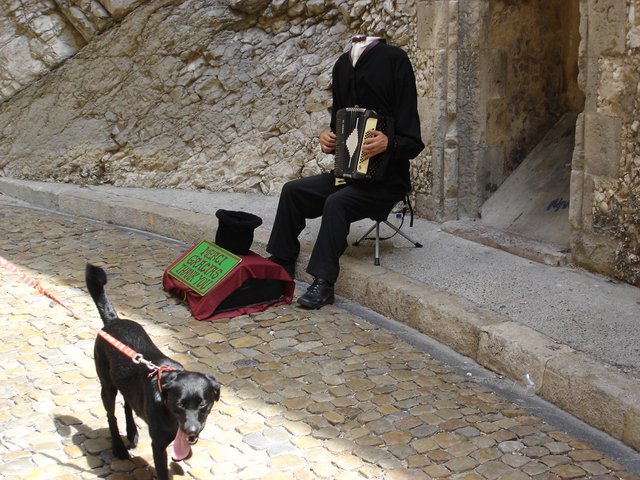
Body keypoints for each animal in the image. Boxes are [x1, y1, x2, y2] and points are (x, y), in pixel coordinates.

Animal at [85, 264, 221, 478]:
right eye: (179, 404)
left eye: (202, 404)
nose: (191, 431)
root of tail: (112, 322)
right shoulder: (158, 445)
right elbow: (163, 470)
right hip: (107, 385)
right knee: (111, 416)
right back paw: (119, 448)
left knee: (127, 404)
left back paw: (132, 432)